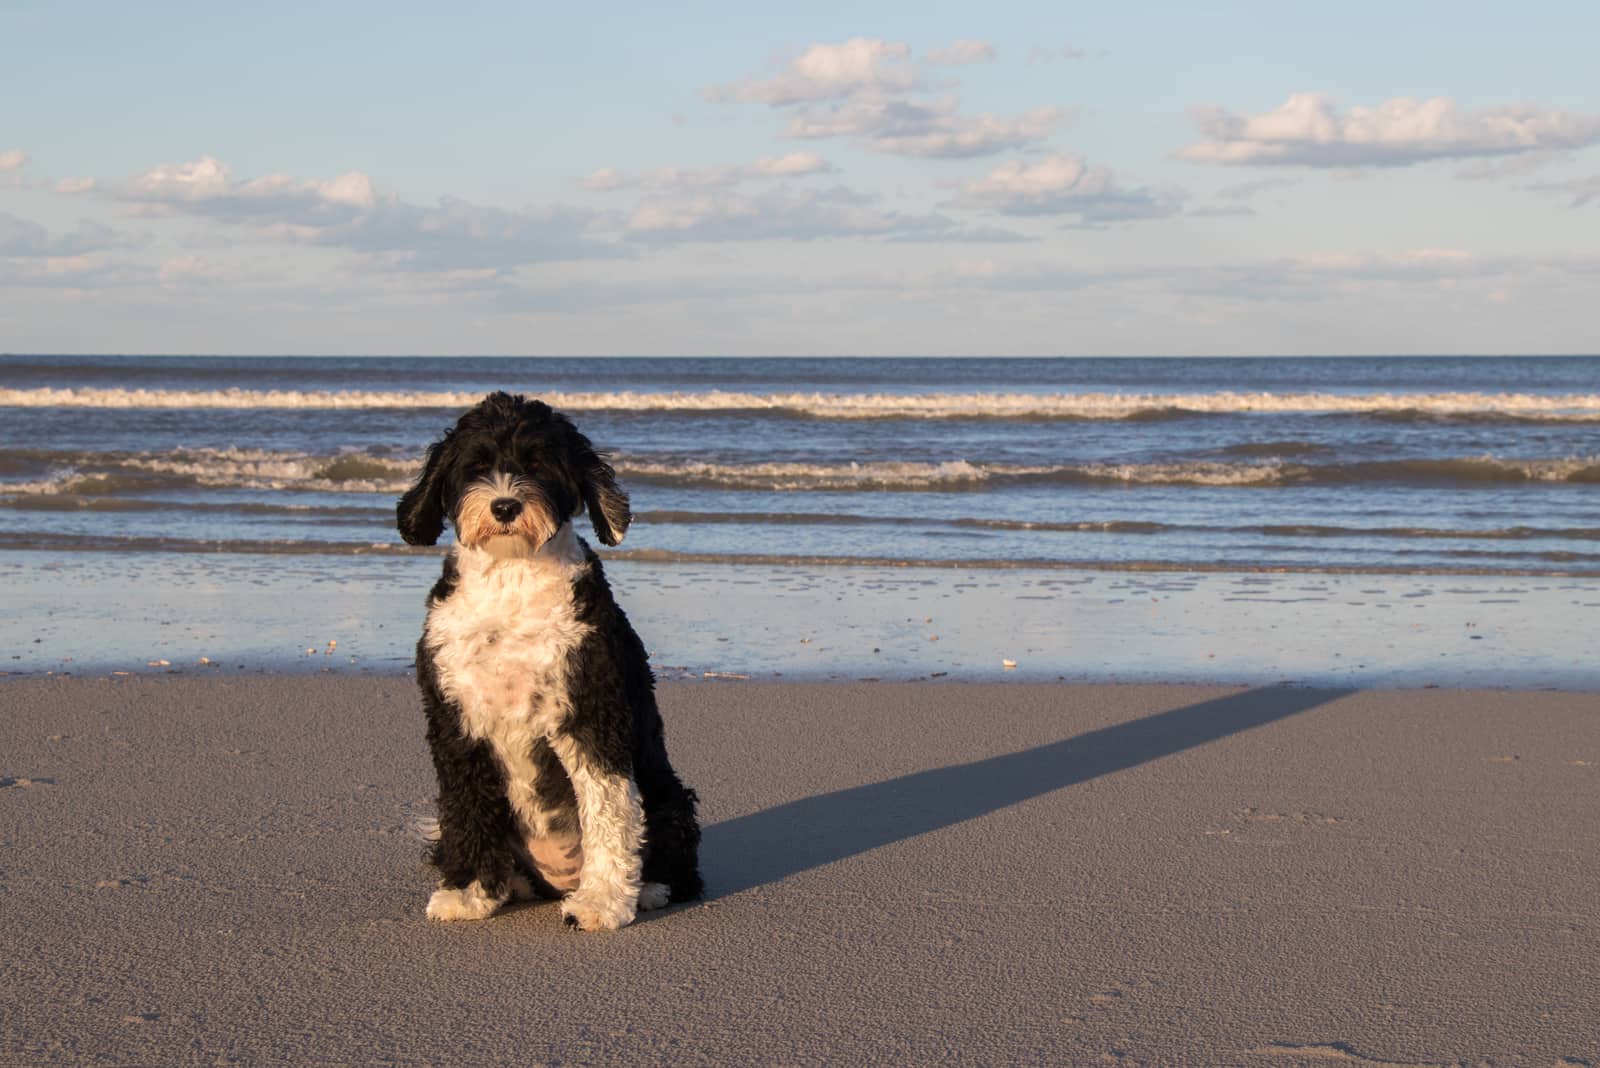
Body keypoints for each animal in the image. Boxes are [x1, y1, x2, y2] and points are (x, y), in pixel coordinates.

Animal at [395, 390, 700, 927]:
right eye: (476, 466)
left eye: (538, 464)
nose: (505, 505)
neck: (511, 578)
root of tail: (556, 880)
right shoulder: (455, 721)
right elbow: (466, 805)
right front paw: (468, 892)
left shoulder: (591, 711)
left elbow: (606, 807)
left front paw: (602, 901)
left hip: (668, 798)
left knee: (674, 862)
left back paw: (646, 889)